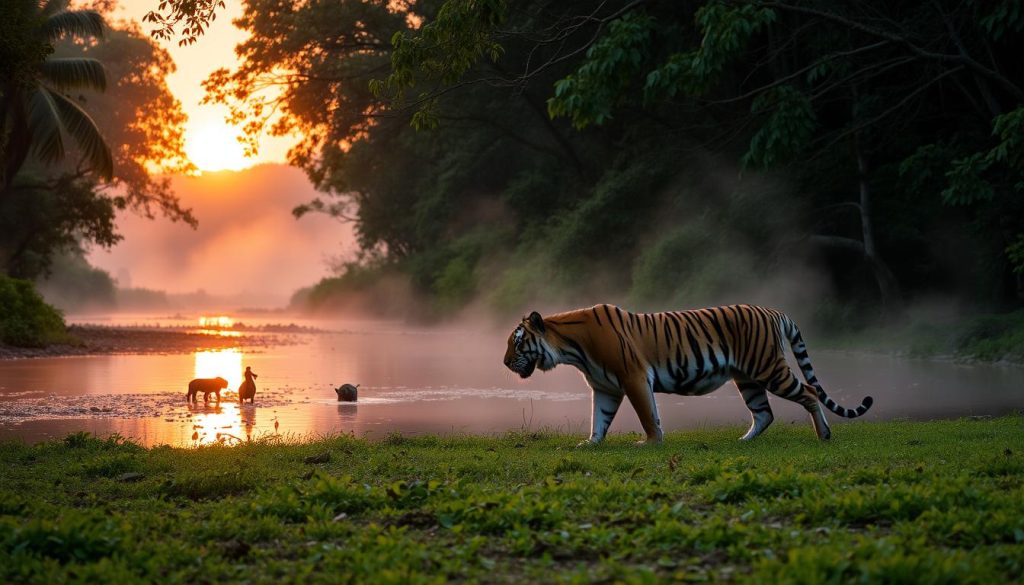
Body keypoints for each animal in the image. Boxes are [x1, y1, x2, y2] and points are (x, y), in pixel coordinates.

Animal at [503, 304, 872, 446]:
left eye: (517, 343)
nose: (505, 364)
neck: (571, 349)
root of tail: (775, 311)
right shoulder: (605, 388)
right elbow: (599, 419)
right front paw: (591, 443)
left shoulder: (633, 378)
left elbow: (647, 415)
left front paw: (650, 443)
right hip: (747, 379)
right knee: (764, 413)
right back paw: (744, 440)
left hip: (768, 368)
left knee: (809, 391)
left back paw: (824, 435)